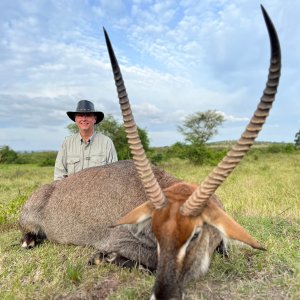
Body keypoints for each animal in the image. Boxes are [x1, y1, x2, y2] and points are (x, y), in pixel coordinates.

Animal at [19, 5, 282, 300]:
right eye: (156, 231)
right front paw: (105, 257)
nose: (164, 294)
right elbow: (146, 259)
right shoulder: (120, 238)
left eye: (195, 234)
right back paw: (31, 241)